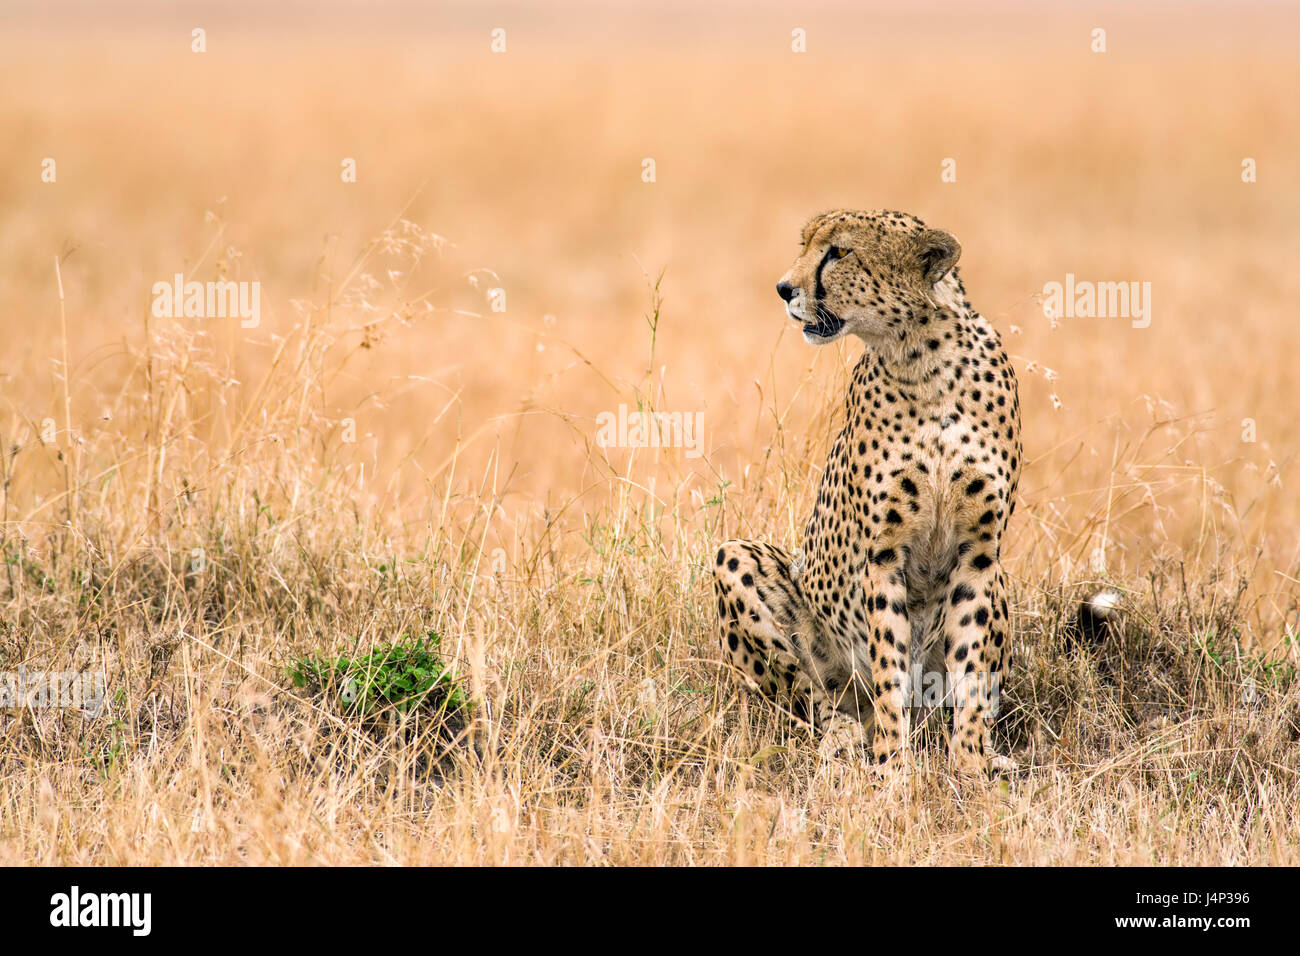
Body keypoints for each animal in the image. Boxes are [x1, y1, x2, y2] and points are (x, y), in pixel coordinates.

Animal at [712, 209, 1022, 776]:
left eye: (839, 252)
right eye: (808, 245)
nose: (783, 288)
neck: (924, 359)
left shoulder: (979, 553)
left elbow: (970, 670)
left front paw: (970, 764)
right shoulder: (883, 555)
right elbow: (888, 668)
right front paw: (891, 768)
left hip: (1001, 580)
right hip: (738, 559)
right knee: (814, 698)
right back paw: (843, 737)